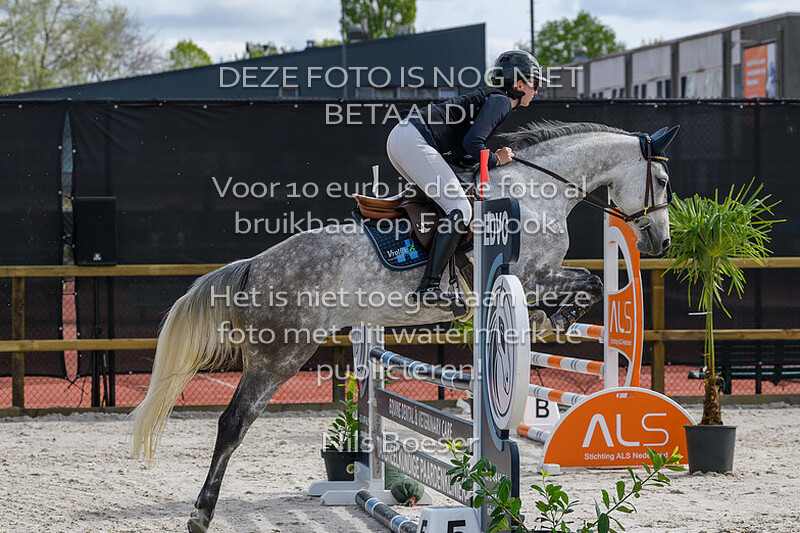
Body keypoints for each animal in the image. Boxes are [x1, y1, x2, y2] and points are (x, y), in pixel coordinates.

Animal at [130, 120, 679, 533]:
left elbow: (587, 284)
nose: (661, 242)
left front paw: (555, 316)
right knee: (233, 422)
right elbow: (588, 282)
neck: (537, 190)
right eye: (663, 181)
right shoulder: (529, 274)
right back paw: (201, 514)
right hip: (281, 353)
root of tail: (256, 264)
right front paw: (556, 315)